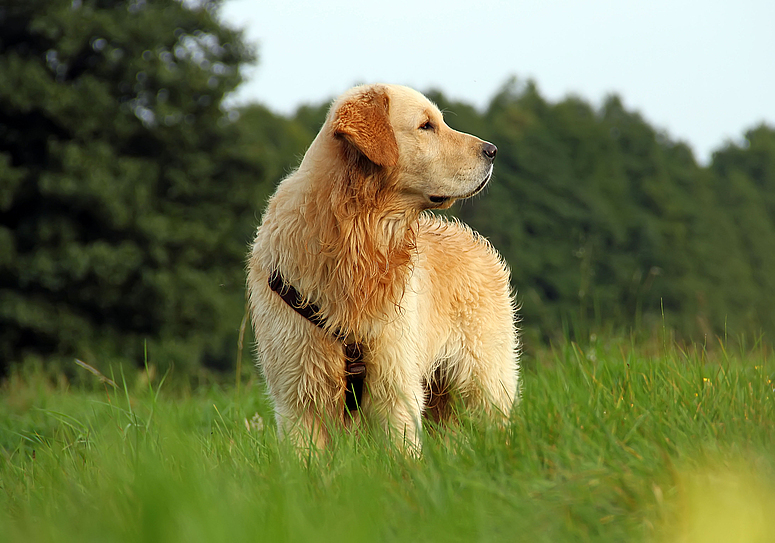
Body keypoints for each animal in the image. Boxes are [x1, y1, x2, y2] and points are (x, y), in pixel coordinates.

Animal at [249, 84, 520, 450]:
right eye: (426, 126)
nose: (492, 151)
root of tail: (475, 240)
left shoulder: (395, 385)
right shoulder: (297, 397)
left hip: (484, 382)